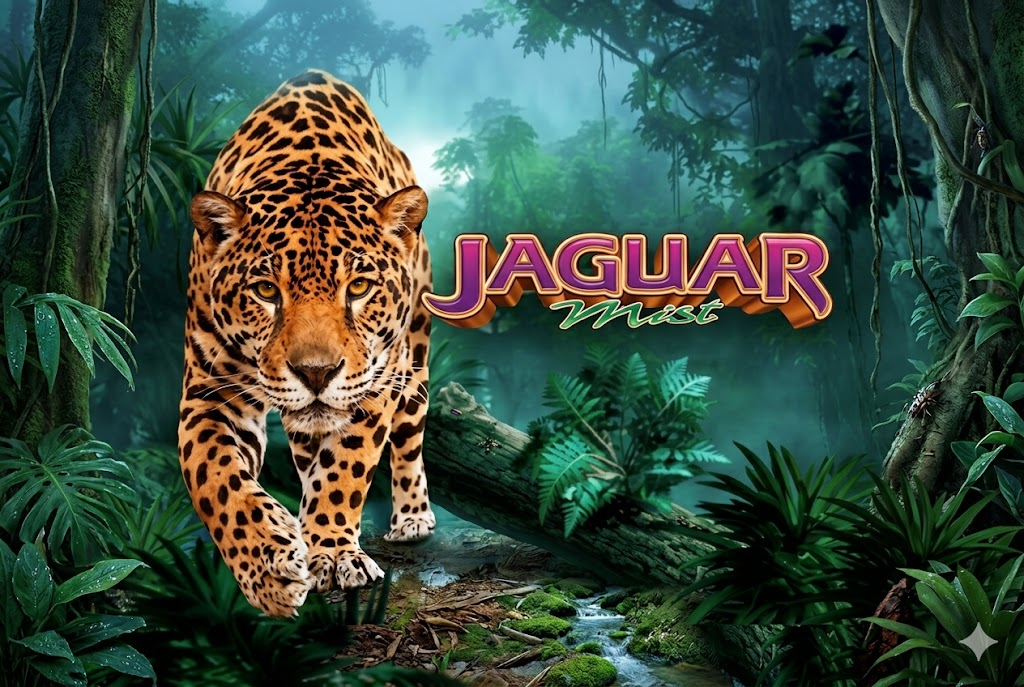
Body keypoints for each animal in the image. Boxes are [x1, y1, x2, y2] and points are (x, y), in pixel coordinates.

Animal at [178, 69, 435, 617]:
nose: (316, 372)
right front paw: (270, 566)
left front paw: (334, 554)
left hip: (415, 360)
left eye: (358, 287)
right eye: (265, 291)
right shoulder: (210, 395)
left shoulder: (371, 386)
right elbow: (217, 478)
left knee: (409, 434)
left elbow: (344, 469)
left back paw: (411, 518)